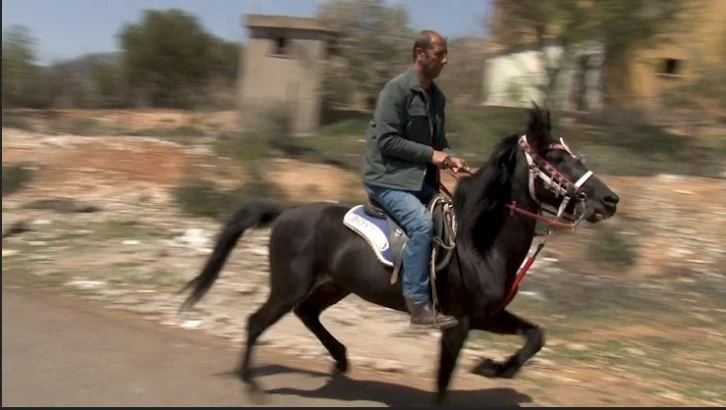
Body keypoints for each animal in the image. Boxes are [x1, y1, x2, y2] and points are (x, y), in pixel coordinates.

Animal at [181, 104, 620, 406]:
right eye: (557, 159)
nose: (610, 200)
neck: (479, 243)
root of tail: (286, 212)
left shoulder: (488, 315)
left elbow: (536, 337)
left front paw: (492, 368)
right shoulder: (458, 322)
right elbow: (443, 381)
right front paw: (484, 369)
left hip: (334, 286)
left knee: (307, 314)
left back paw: (340, 360)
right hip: (290, 285)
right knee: (256, 322)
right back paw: (253, 385)